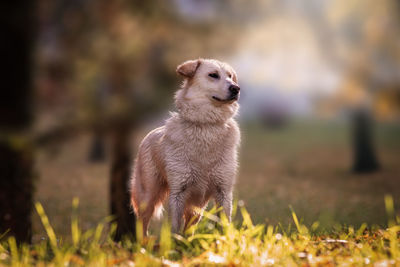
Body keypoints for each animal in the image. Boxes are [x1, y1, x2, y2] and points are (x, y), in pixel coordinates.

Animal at [130, 59, 241, 237]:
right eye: (213, 75)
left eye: (230, 76)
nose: (236, 88)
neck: (206, 126)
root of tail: (151, 132)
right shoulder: (179, 191)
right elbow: (175, 228)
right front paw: (175, 242)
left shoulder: (223, 190)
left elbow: (224, 225)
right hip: (148, 195)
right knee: (143, 224)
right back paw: (143, 242)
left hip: (197, 207)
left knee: (190, 227)